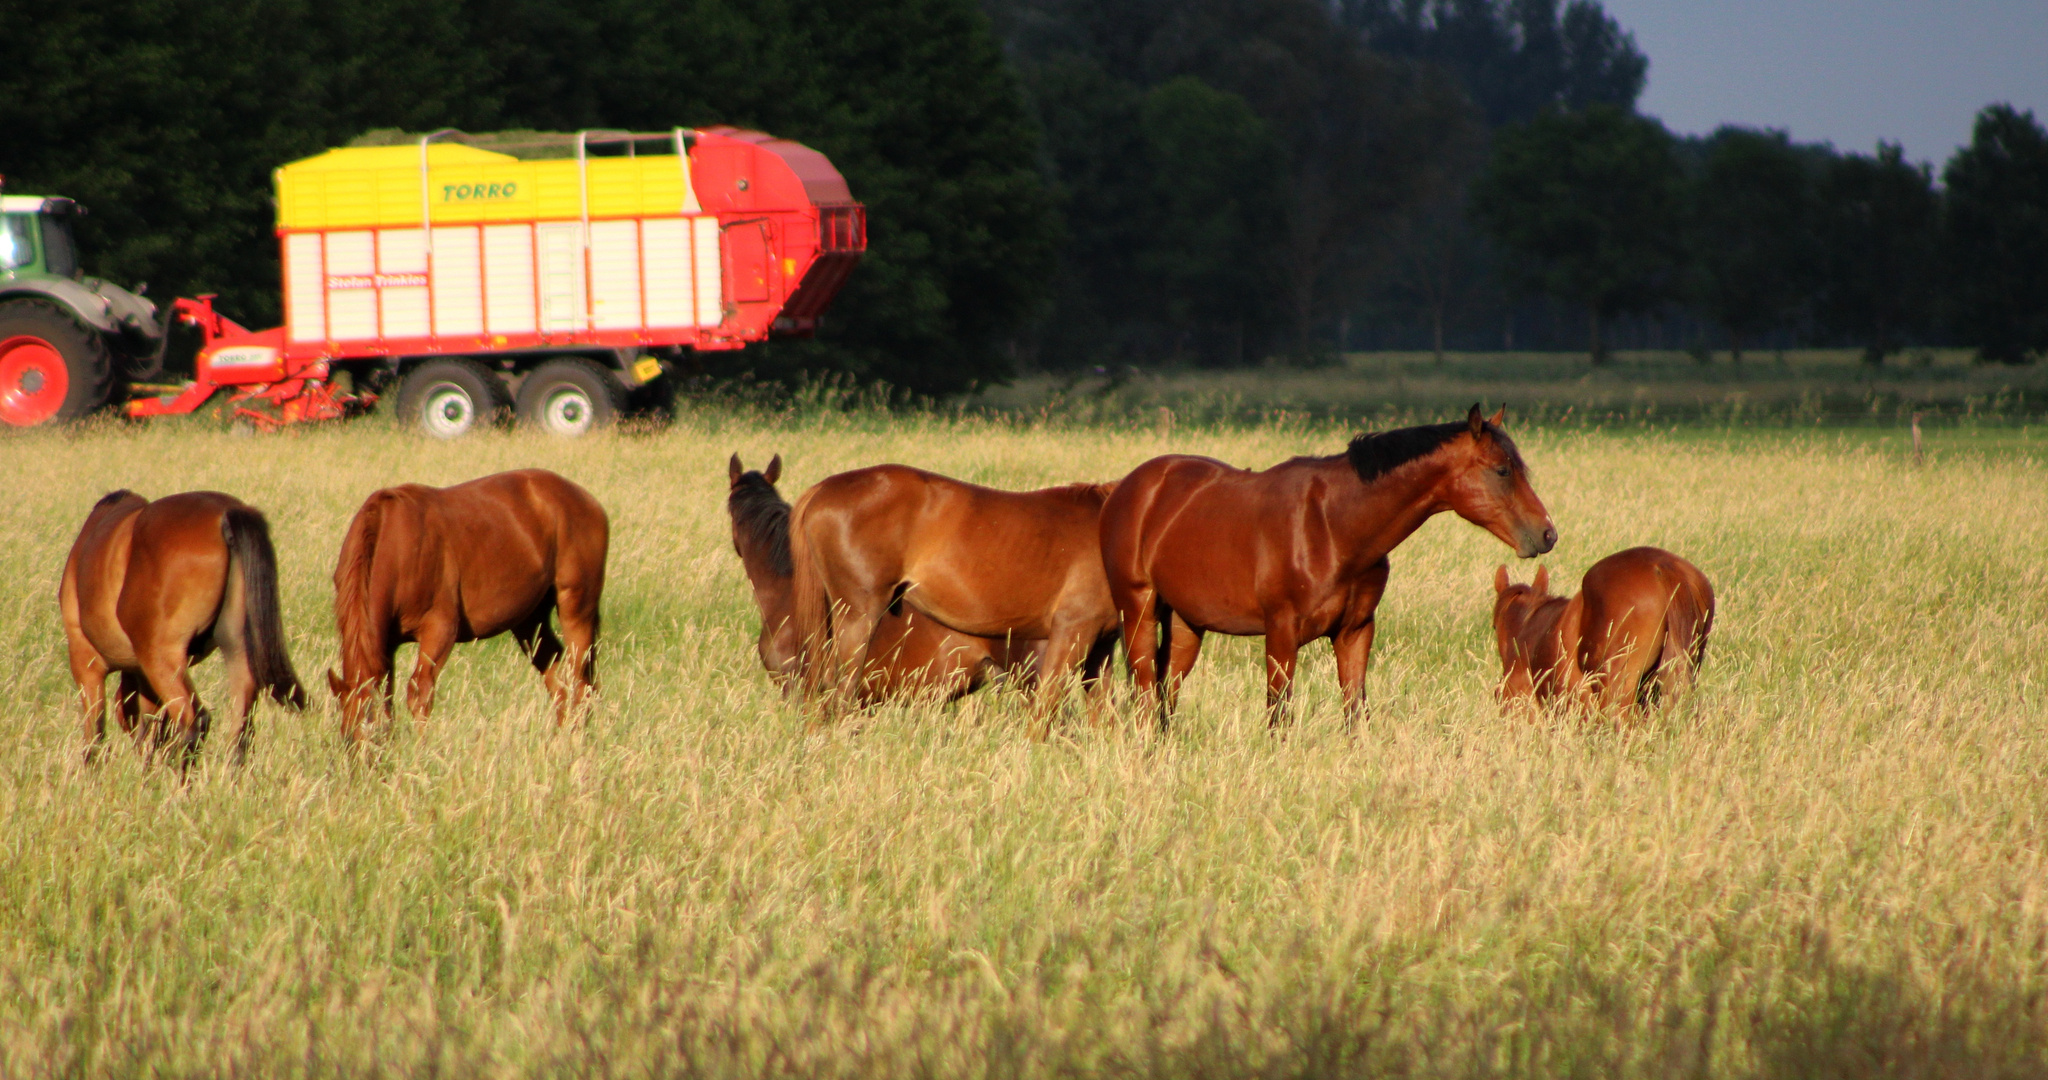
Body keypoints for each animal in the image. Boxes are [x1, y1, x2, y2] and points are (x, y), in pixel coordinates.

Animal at [327, 469, 606, 737]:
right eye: (346, 738)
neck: (395, 546)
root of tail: (587, 500)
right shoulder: (386, 644)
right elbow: (387, 699)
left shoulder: (439, 631)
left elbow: (420, 693)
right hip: (530, 622)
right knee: (559, 682)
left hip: (577, 610)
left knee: (581, 682)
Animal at [786, 465, 1122, 733]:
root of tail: (823, 489)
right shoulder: (1072, 632)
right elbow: (1045, 707)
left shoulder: (1102, 644)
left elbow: (1103, 715)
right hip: (858, 617)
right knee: (839, 693)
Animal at [1105, 407, 1548, 733]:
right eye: (1502, 470)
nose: (1547, 533)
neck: (1332, 526)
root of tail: (1131, 487)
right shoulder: (1281, 633)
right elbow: (1279, 715)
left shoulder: (1355, 631)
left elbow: (1355, 710)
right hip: (1139, 610)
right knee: (1145, 690)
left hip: (1187, 623)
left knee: (1167, 691)